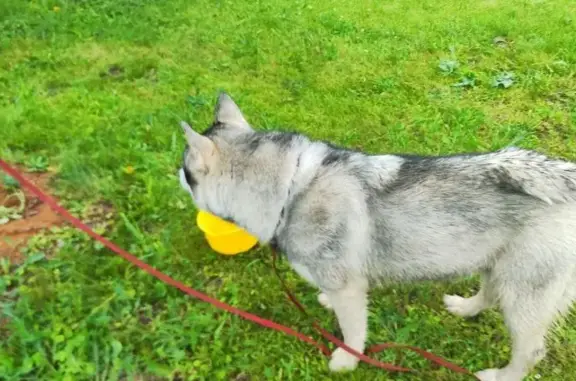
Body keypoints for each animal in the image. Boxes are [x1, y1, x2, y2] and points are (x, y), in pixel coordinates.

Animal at [179, 93, 576, 380]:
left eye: (185, 168)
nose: (175, 175)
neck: (289, 190)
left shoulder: (349, 290)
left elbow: (353, 332)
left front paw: (346, 362)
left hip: (524, 295)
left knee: (530, 350)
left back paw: (500, 375)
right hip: (499, 268)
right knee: (489, 295)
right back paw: (465, 308)